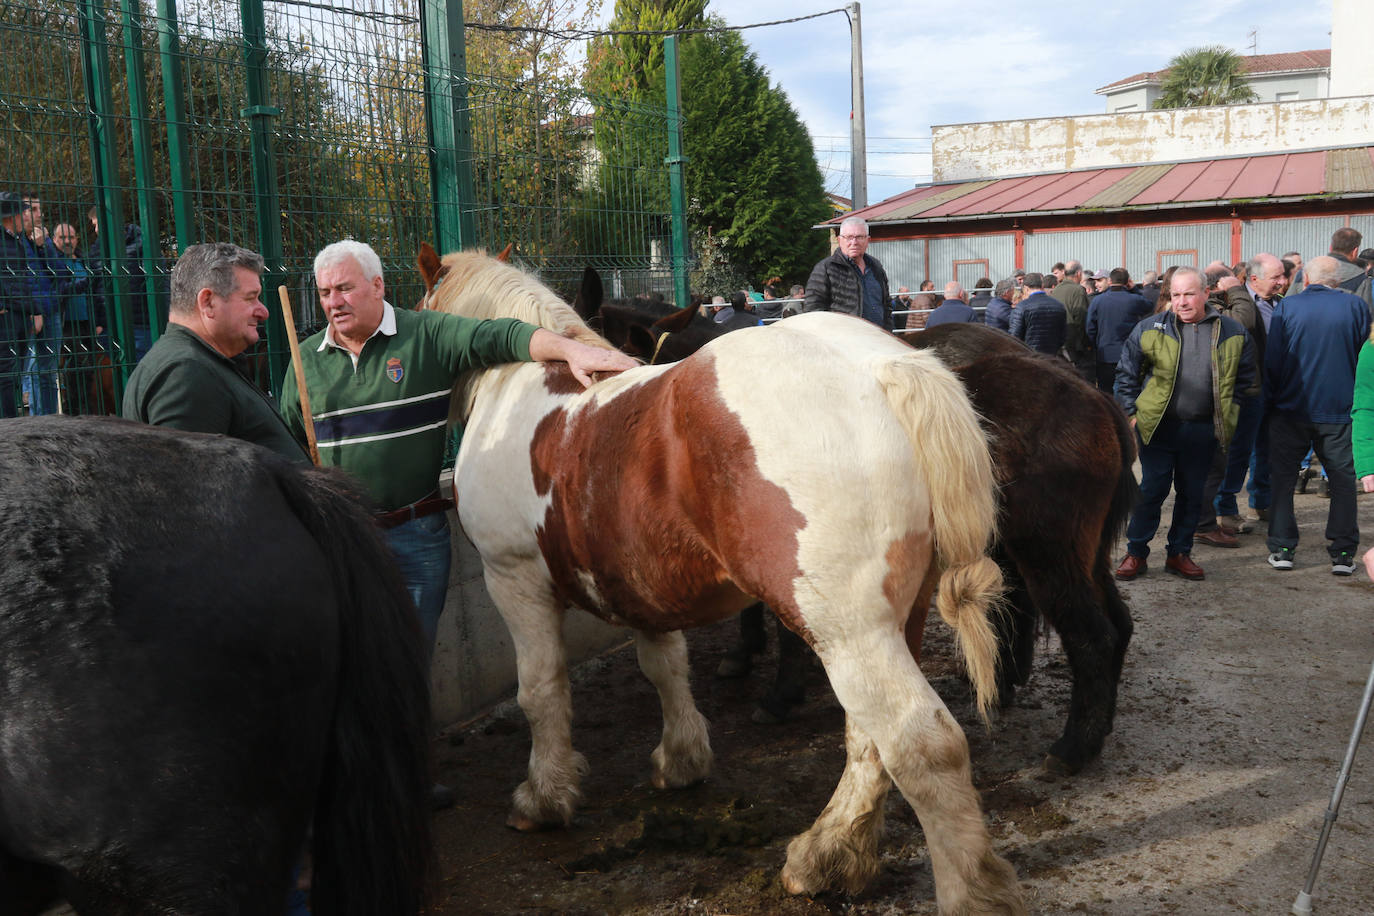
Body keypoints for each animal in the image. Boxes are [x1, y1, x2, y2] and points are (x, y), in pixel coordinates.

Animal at [423, 247, 1027, 911]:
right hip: (893, 620)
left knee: (922, 745)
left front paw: (544, 797)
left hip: (851, 632)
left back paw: (965, 891)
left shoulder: (513, 580)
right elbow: (665, 668)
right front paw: (682, 760)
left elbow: (540, 690)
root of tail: (882, 365)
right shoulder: (641, 585)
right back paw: (829, 857)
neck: (519, 389)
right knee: (870, 738)